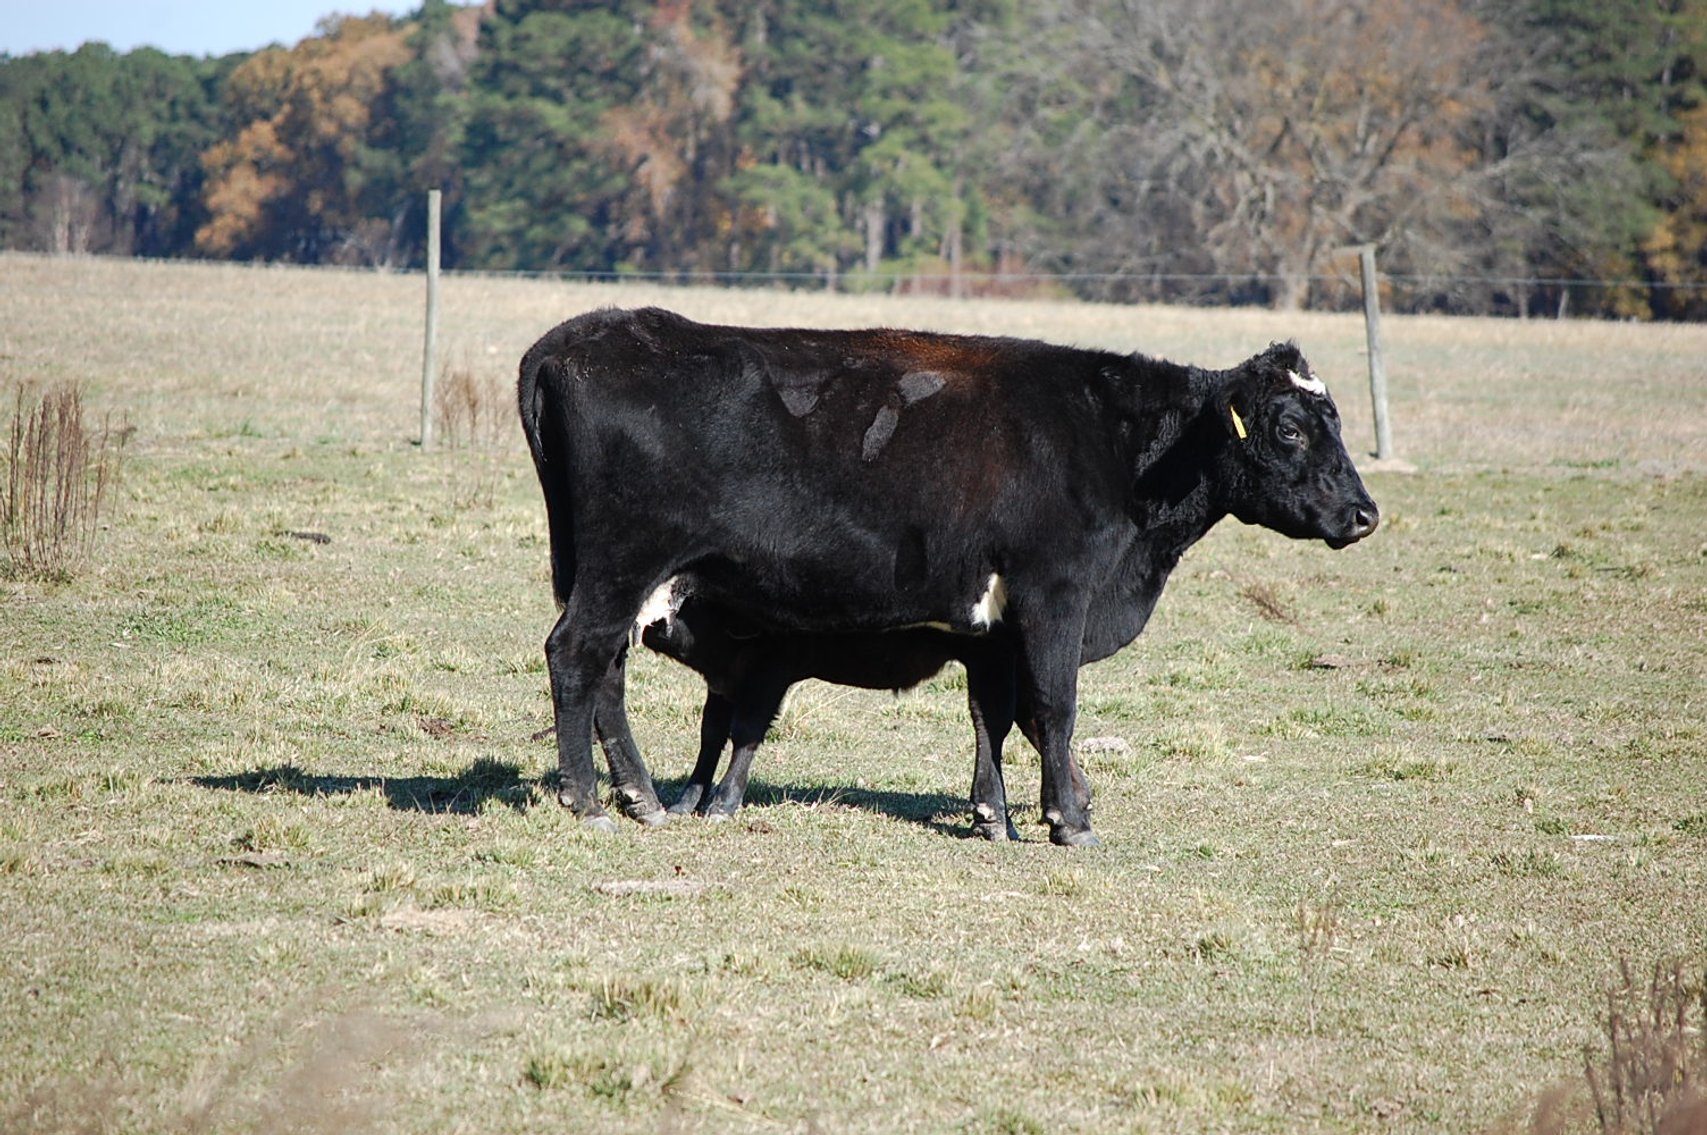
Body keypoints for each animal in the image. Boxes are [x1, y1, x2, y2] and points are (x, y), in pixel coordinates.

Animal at [518, 307, 1377, 847]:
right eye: (1290, 427)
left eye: (1335, 421)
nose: (1364, 513)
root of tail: (579, 337)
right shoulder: (1054, 595)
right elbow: (1054, 706)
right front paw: (1069, 820)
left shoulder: (995, 627)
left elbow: (994, 716)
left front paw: (996, 816)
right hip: (621, 567)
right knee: (576, 654)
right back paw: (591, 801)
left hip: (615, 576)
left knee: (606, 669)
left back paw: (639, 795)